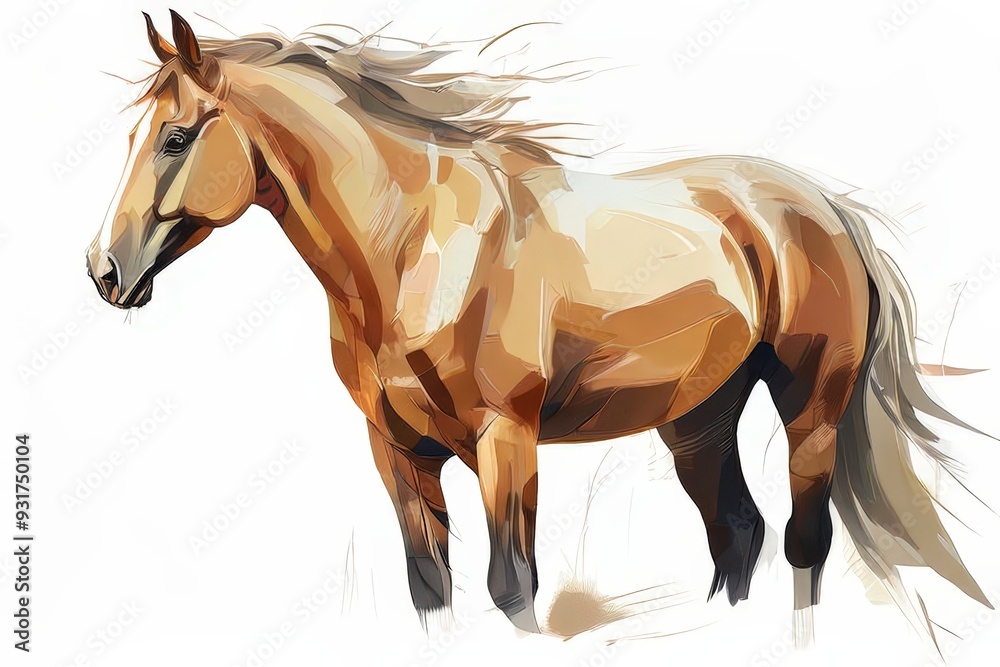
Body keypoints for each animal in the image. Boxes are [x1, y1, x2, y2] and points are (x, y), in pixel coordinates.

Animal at [87, 11, 991, 646]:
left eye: (175, 138)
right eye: (133, 134)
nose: (104, 271)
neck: (412, 249)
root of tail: (823, 206)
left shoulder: (505, 440)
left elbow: (511, 586)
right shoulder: (397, 451)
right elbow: (431, 587)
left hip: (810, 407)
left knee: (805, 542)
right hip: (698, 420)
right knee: (738, 532)